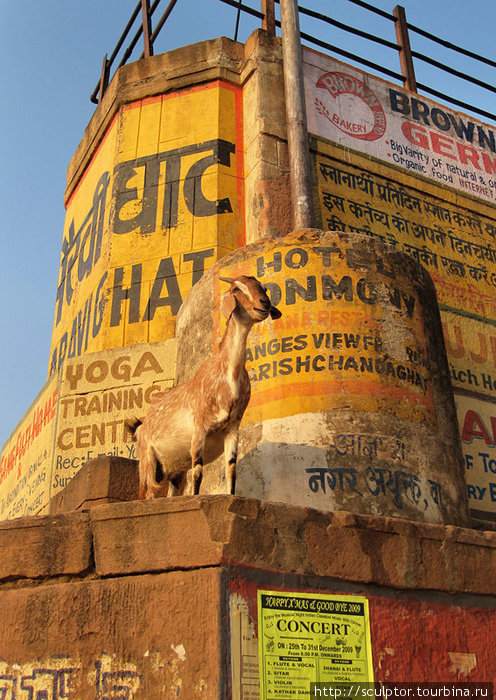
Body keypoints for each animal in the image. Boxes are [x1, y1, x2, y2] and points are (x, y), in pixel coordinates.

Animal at [126, 274, 280, 498]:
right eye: (236, 289)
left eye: (264, 288)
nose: (264, 304)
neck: (227, 374)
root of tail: (141, 426)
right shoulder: (199, 428)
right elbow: (198, 471)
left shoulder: (232, 427)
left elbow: (231, 468)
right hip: (148, 460)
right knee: (146, 493)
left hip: (174, 469)